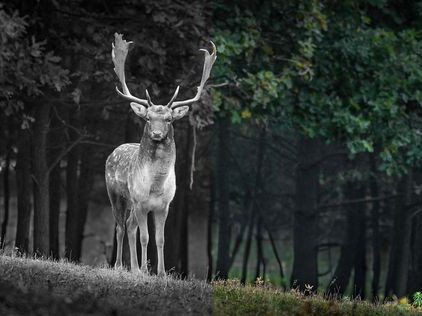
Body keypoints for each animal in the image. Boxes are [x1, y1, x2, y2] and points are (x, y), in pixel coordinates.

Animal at [105, 34, 218, 276]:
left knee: (129, 225)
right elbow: (145, 237)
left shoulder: (164, 205)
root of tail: (114, 151)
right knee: (120, 227)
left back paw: (133, 268)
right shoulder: (140, 202)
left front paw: (162, 272)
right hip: (116, 195)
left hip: (131, 203)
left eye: (169, 119)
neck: (155, 186)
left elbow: (160, 239)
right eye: (148, 118)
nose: (156, 134)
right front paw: (144, 270)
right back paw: (120, 266)